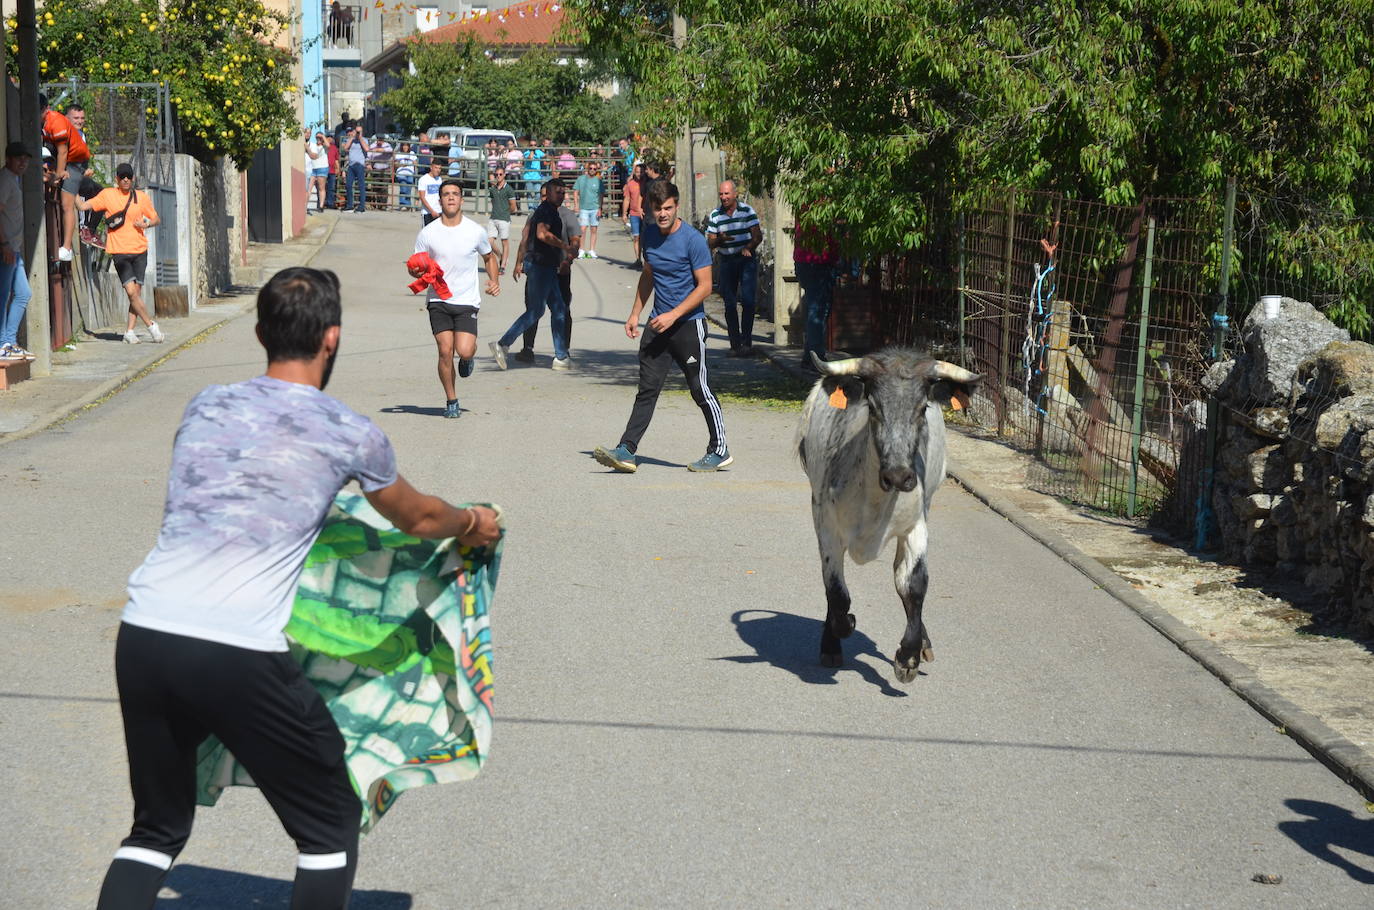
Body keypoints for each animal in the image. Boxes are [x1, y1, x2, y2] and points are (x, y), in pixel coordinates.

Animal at [802, 349, 983, 684]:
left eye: (922, 408)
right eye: (872, 407)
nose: (898, 475)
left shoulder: (916, 527)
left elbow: (913, 585)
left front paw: (909, 657)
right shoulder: (827, 528)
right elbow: (836, 592)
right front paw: (841, 629)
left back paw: (923, 642)